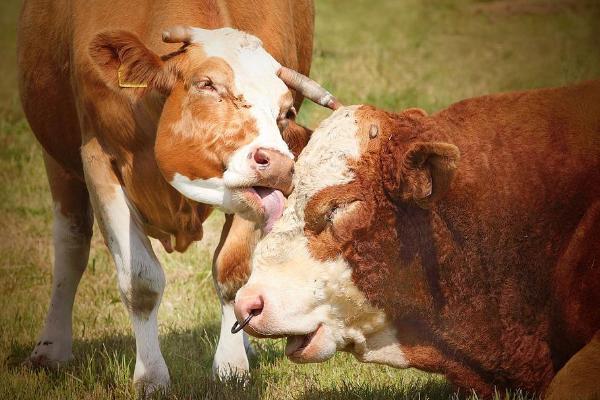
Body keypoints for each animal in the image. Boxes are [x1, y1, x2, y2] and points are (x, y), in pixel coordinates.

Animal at [17, 0, 338, 394]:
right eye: (206, 84)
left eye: (287, 111)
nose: (278, 164)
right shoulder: (97, 156)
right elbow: (140, 281)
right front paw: (151, 377)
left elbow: (232, 273)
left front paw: (231, 367)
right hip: (57, 159)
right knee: (71, 247)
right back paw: (51, 350)